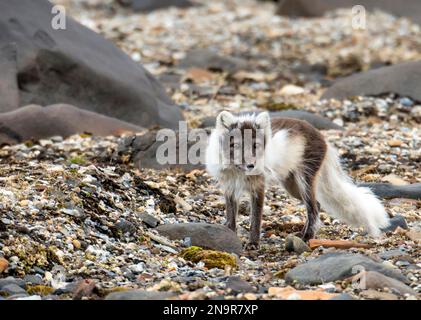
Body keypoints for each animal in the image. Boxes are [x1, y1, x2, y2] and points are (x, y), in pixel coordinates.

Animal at [205, 111, 388, 249]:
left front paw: (253, 243)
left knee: (313, 209)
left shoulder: (258, 188)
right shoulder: (229, 187)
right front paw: (229, 234)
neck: (238, 172)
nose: (251, 165)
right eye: (235, 145)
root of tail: (322, 137)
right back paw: (303, 234)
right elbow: (231, 215)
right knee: (317, 205)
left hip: (304, 180)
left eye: (255, 146)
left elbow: (255, 219)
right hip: (292, 186)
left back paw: (307, 237)